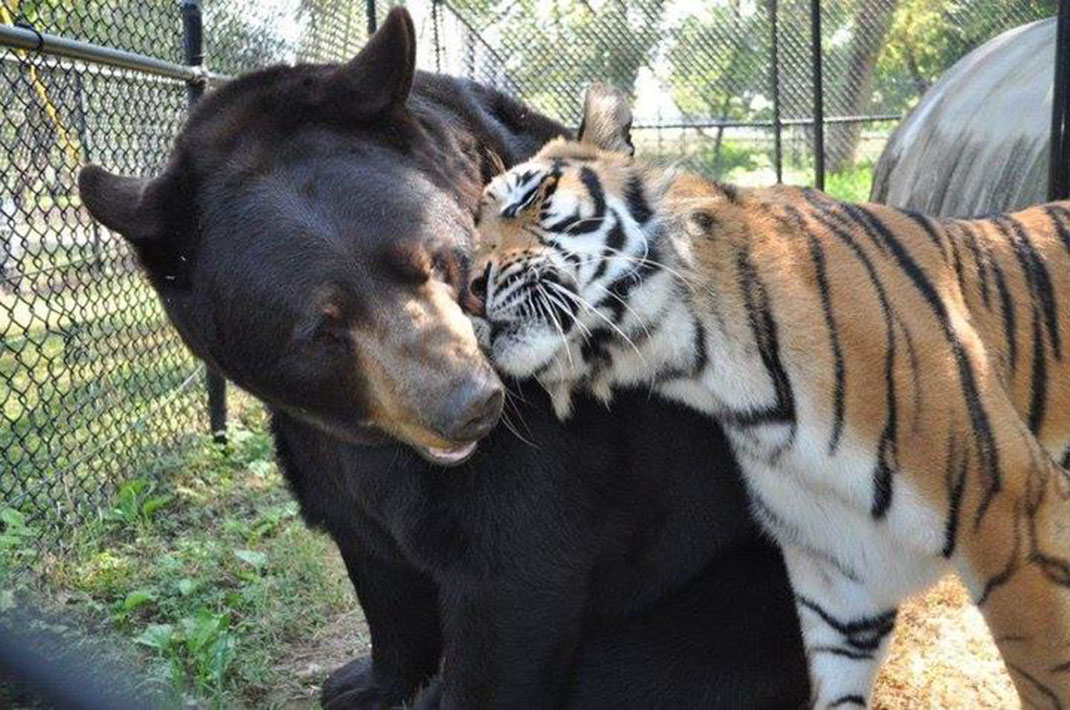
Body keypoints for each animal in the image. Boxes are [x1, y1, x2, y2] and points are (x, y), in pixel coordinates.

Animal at [467, 83, 1070, 709]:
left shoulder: (1015, 516)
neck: (705, 367)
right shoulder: (839, 584)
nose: (469, 289)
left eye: (532, 199)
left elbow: (1049, 677)